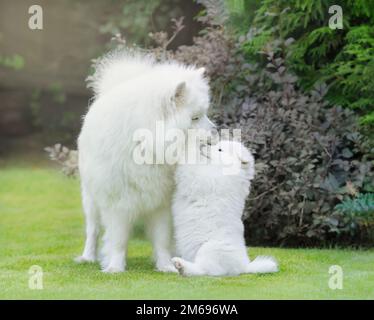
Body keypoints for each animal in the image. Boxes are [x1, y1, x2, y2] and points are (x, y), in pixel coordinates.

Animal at [76, 50, 213, 272]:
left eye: (204, 114)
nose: (215, 133)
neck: (145, 144)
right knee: (93, 230)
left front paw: (166, 266)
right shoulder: (118, 203)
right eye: (194, 118)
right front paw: (115, 267)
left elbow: (162, 239)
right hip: (90, 199)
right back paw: (88, 257)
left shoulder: (161, 203)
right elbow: (118, 240)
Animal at [172, 141, 278, 276]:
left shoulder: (204, 180)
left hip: (209, 249)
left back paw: (181, 265)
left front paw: (189, 147)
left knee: (204, 270)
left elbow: (191, 167)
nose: (203, 146)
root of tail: (243, 267)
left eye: (220, 150)